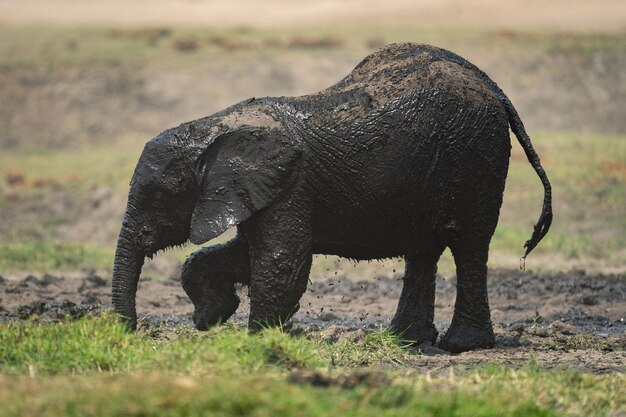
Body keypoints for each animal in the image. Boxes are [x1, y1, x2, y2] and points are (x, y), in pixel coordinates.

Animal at [112, 43, 552, 352]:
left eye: (160, 195)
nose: (130, 334)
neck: (216, 127)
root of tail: (493, 88)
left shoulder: (292, 184)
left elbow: (281, 262)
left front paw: (258, 344)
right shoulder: (263, 190)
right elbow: (244, 255)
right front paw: (213, 316)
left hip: (475, 154)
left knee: (469, 244)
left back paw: (462, 346)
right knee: (423, 249)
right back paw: (407, 341)